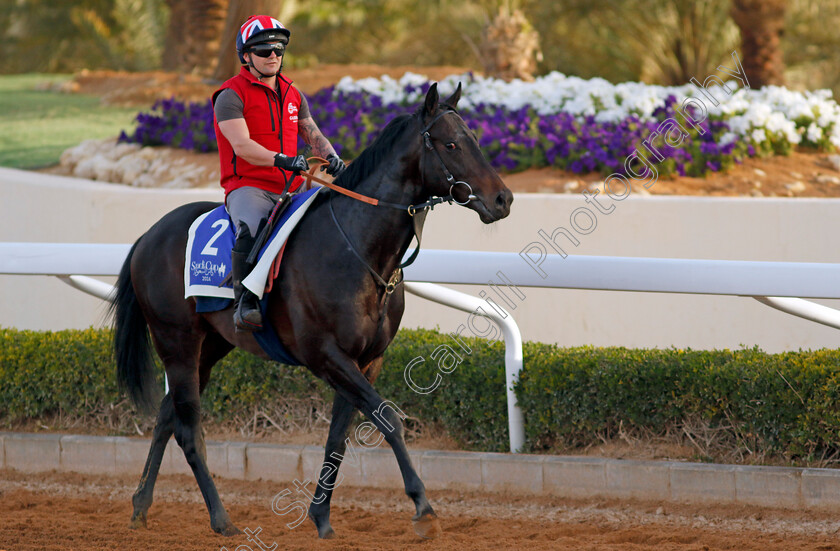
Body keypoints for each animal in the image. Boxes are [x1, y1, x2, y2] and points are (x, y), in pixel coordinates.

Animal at [110, 82, 512, 540]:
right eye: (451, 144)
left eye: (475, 139)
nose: (503, 199)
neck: (356, 248)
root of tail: (147, 236)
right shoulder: (327, 356)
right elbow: (387, 418)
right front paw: (424, 507)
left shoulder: (366, 360)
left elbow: (338, 437)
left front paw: (321, 516)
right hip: (176, 341)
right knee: (188, 430)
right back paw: (221, 519)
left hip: (209, 347)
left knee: (166, 418)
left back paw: (141, 506)